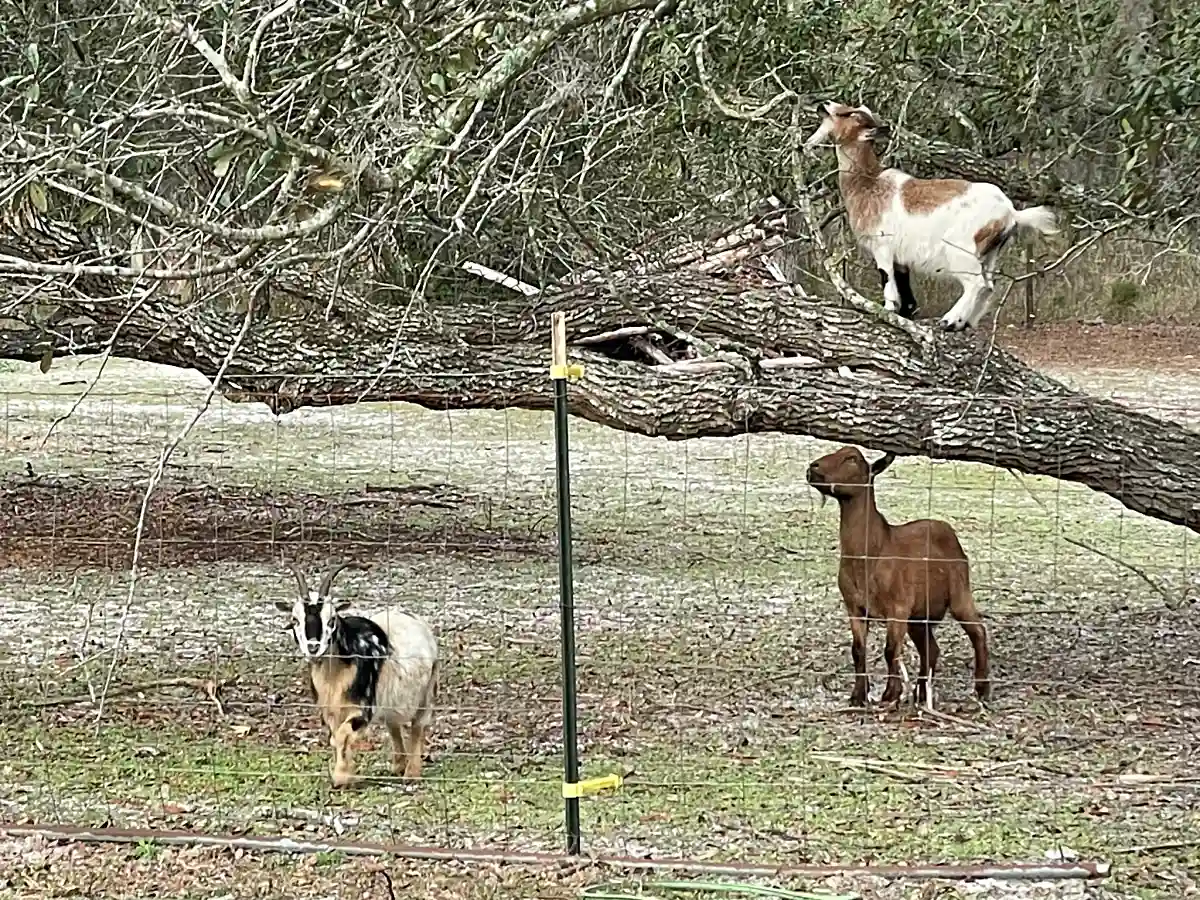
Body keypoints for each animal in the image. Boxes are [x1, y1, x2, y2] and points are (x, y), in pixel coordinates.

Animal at [276, 562, 439, 788]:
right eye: (294, 620)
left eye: (332, 619)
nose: (313, 647)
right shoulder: (331, 711)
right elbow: (336, 738)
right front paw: (345, 775)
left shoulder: (363, 707)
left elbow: (343, 735)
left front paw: (341, 777)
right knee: (393, 725)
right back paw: (398, 765)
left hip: (427, 689)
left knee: (418, 725)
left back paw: (411, 773)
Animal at [803, 101, 1059, 332]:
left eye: (849, 114)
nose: (823, 105)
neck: (869, 184)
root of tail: (1011, 212)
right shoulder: (901, 258)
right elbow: (906, 292)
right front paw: (906, 315)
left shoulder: (882, 247)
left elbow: (888, 283)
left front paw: (887, 312)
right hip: (990, 254)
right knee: (988, 285)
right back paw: (965, 323)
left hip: (961, 251)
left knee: (976, 283)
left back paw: (950, 321)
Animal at [806, 446, 991, 709]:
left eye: (852, 459)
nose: (813, 467)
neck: (873, 552)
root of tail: (947, 529)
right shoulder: (855, 608)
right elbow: (858, 650)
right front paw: (858, 695)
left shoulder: (898, 608)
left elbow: (890, 650)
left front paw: (890, 694)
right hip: (919, 616)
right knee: (931, 649)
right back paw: (921, 693)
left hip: (959, 592)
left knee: (978, 631)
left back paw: (982, 689)